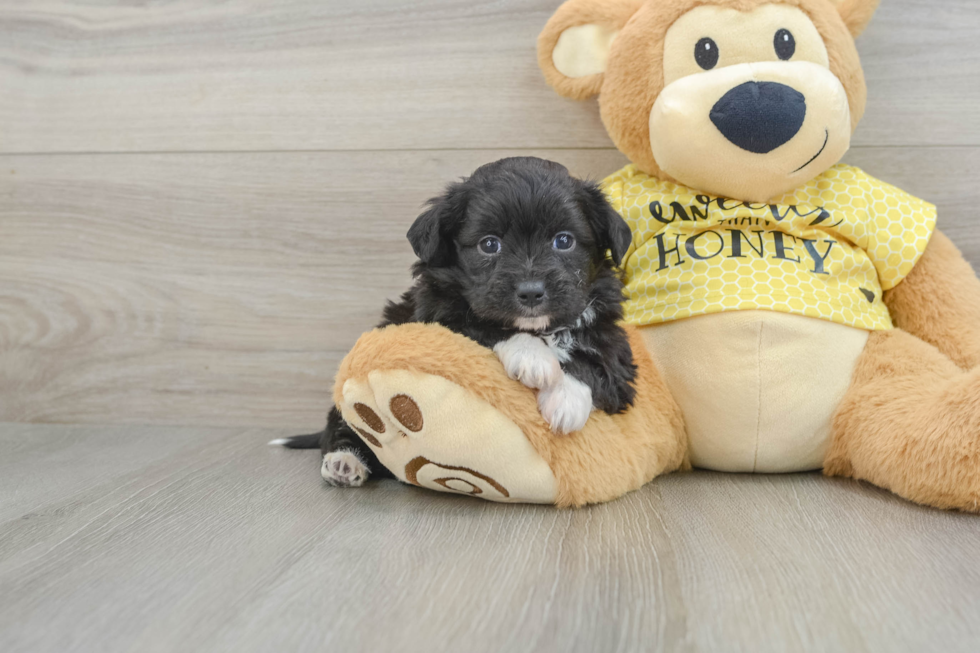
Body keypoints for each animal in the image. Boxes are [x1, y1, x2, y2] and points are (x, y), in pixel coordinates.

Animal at [270, 157, 636, 484]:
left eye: (564, 240)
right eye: (490, 244)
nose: (531, 292)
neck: (539, 327)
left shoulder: (612, 339)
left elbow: (595, 359)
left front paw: (565, 401)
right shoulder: (438, 315)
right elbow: (482, 325)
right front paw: (533, 357)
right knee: (343, 429)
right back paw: (345, 462)